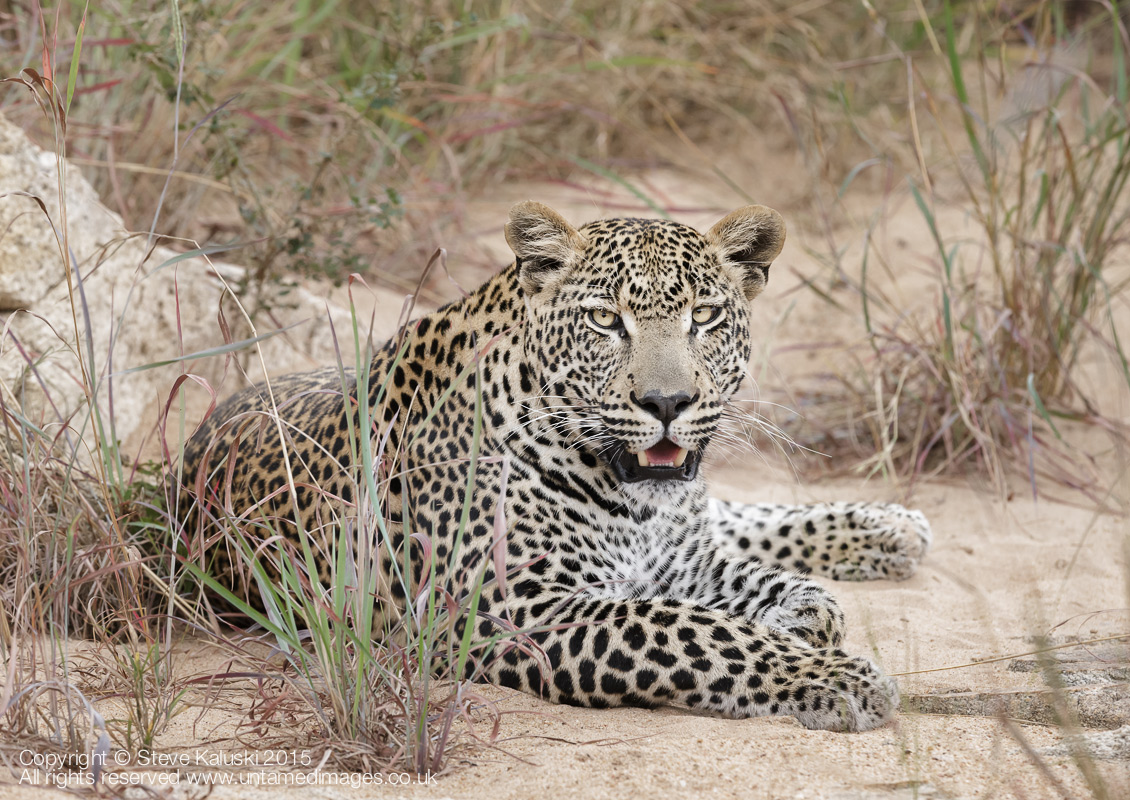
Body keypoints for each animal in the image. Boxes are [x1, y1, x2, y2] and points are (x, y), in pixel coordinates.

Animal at [178, 200, 932, 732]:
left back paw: (889, 527)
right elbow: (690, 628)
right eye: (605, 320)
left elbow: (789, 597)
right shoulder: (513, 609)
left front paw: (804, 627)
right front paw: (836, 679)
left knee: (732, 514)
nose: (668, 402)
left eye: (706, 316)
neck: (628, 501)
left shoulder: (681, 561)